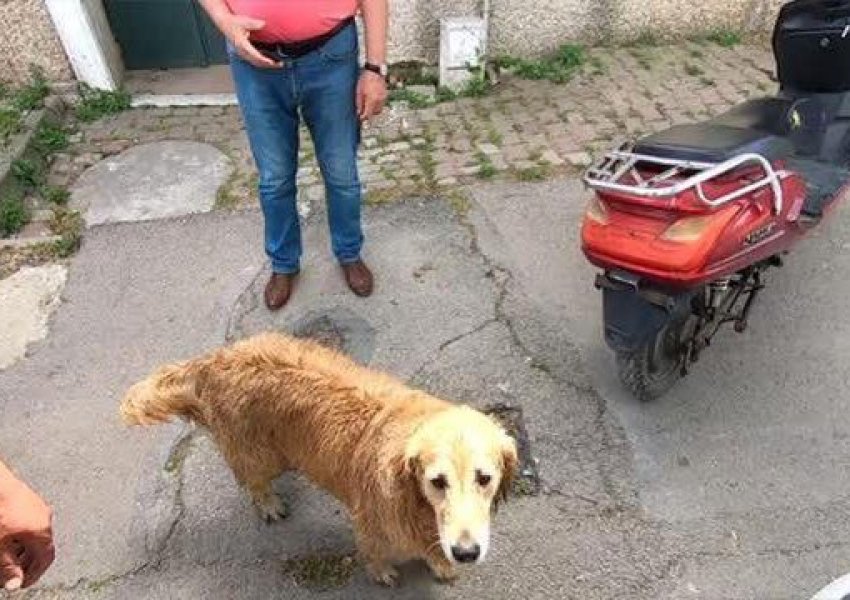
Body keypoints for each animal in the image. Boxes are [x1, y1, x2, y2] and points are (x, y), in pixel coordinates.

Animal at [119, 330, 516, 584]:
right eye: (437, 481)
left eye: (484, 478)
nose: (466, 553)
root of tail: (215, 361)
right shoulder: (371, 519)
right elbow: (375, 551)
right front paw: (383, 572)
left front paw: (442, 564)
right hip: (259, 454)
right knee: (252, 479)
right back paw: (268, 503)